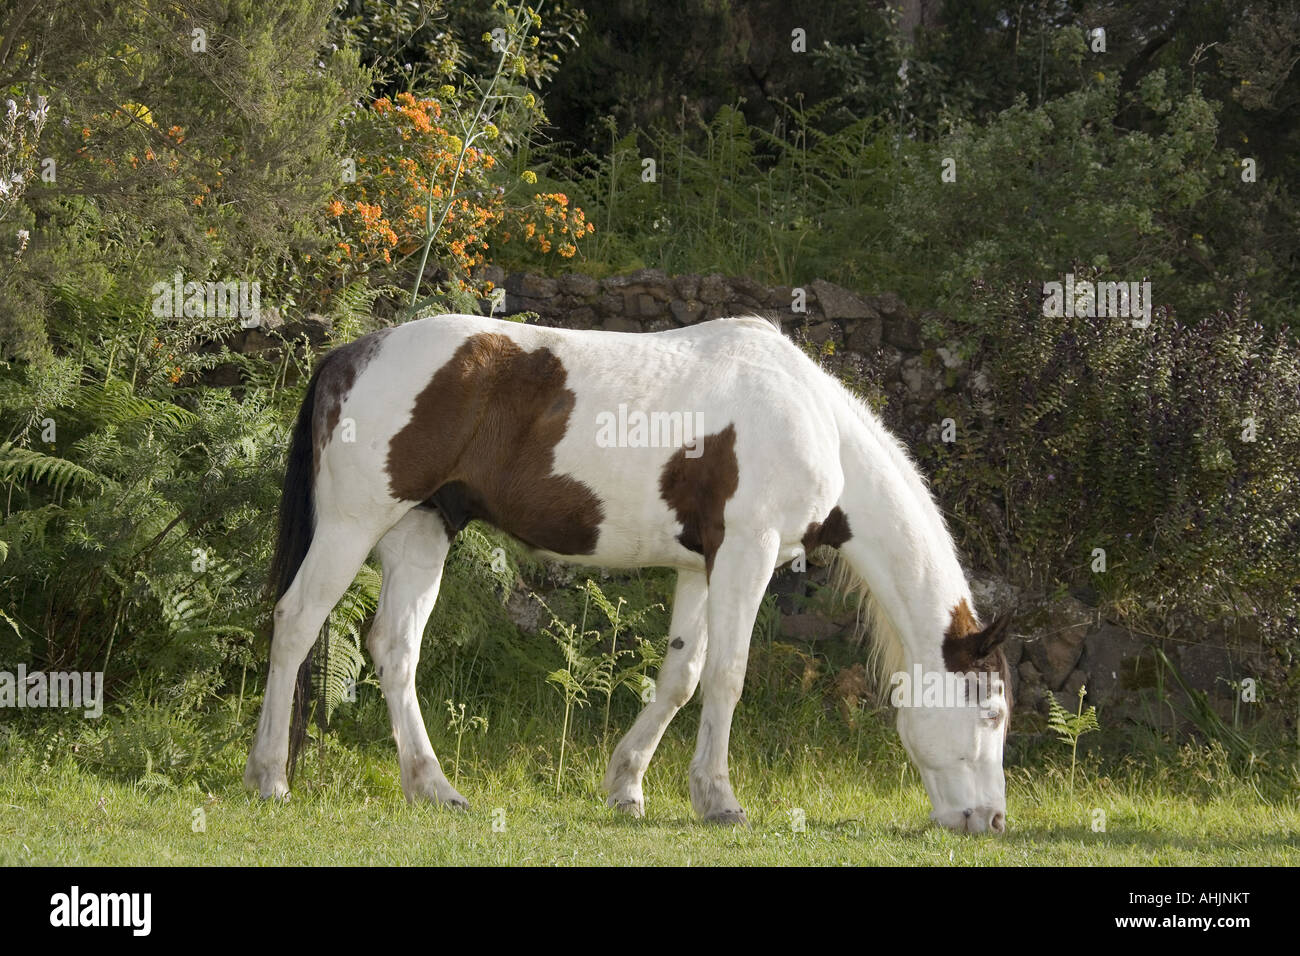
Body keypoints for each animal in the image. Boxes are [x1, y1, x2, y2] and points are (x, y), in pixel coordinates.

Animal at [244, 312, 1012, 833]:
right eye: (991, 712)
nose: (992, 820)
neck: (811, 418)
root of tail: (351, 354)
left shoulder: (702, 567)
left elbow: (681, 677)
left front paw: (628, 788)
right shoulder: (749, 552)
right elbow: (727, 676)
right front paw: (720, 800)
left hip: (420, 531)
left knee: (395, 649)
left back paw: (433, 787)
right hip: (353, 524)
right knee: (296, 622)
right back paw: (269, 777)